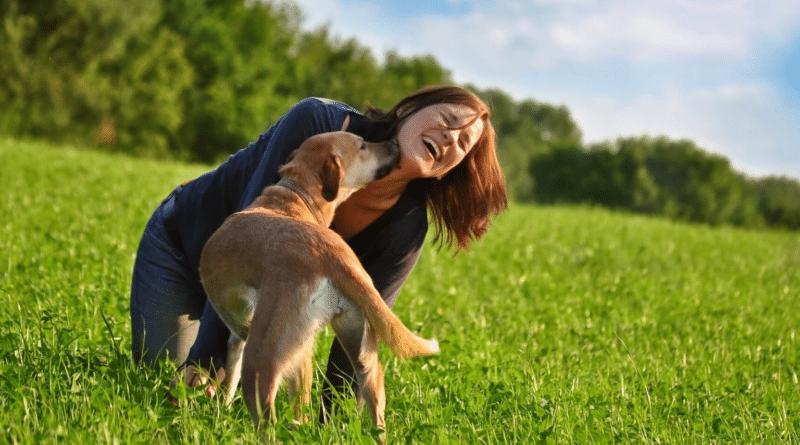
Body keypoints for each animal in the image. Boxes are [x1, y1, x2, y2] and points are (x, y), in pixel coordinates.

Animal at [198, 130, 440, 436]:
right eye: (363, 145)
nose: (396, 143)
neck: (295, 195)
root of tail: (331, 255)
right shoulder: (249, 340)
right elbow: (231, 376)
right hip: (358, 350)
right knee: (369, 408)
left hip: (263, 357)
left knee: (268, 421)